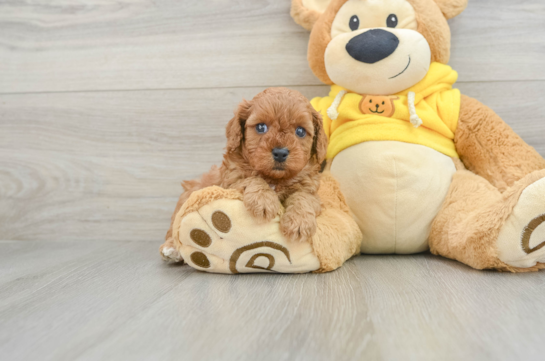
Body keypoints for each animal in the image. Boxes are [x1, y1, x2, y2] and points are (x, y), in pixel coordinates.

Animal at [159, 87, 326, 262]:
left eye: (300, 131)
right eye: (261, 127)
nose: (280, 153)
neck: (274, 178)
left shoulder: (310, 190)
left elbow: (303, 197)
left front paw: (299, 222)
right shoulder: (231, 181)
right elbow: (252, 179)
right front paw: (263, 200)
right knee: (175, 229)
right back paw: (171, 248)